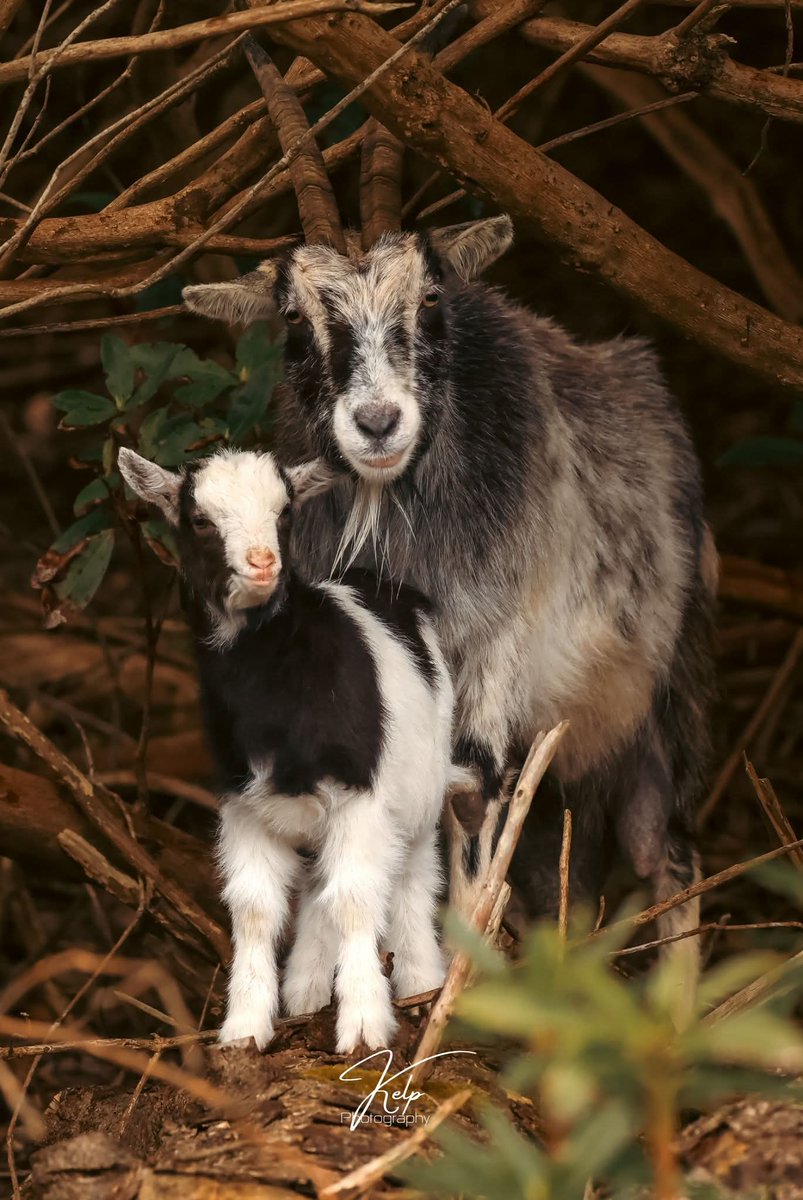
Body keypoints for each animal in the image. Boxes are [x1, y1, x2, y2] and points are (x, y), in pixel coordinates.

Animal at [118, 446, 456, 1053]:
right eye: (199, 520)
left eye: (285, 512)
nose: (261, 562)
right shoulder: (244, 803)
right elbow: (255, 909)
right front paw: (244, 1029)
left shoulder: (360, 795)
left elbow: (355, 900)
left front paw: (365, 1028)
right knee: (319, 887)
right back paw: (306, 992)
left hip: (422, 786)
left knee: (412, 873)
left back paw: (422, 983)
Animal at [181, 49, 716, 1020]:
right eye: (292, 320)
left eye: (430, 299)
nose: (378, 422)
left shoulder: (498, 651)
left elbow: (468, 795)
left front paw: (463, 983)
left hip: (667, 685)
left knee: (664, 842)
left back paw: (675, 1003)